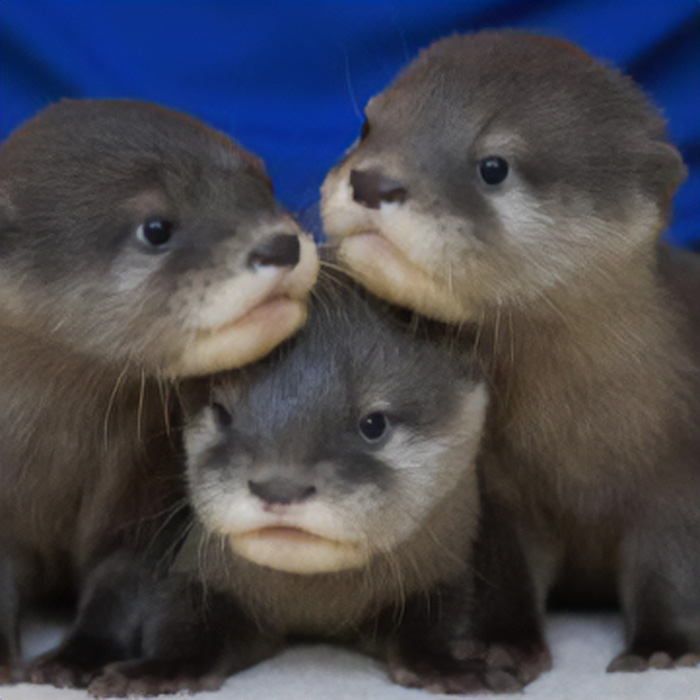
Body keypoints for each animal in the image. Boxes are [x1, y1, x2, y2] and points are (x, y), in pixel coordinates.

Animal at [0, 99, 318, 686]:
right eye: (156, 228)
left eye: (264, 184)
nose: (280, 243)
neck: (55, 457)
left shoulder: (150, 505)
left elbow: (122, 586)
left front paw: (77, 659)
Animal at [84, 271, 489, 697]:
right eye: (222, 413)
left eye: (374, 424)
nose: (279, 487)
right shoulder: (194, 571)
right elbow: (183, 622)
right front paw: (155, 672)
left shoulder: (447, 569)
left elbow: (433, 622)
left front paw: (445, 667)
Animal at [321, 30, 700, 691]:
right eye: (367, 125)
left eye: (493, 166)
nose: (372, 181)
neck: (577, 435)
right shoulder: (496, 490)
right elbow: (503, 572)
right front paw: (500, 643)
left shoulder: (676, 473)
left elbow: (668, 568)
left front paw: (663, 649)